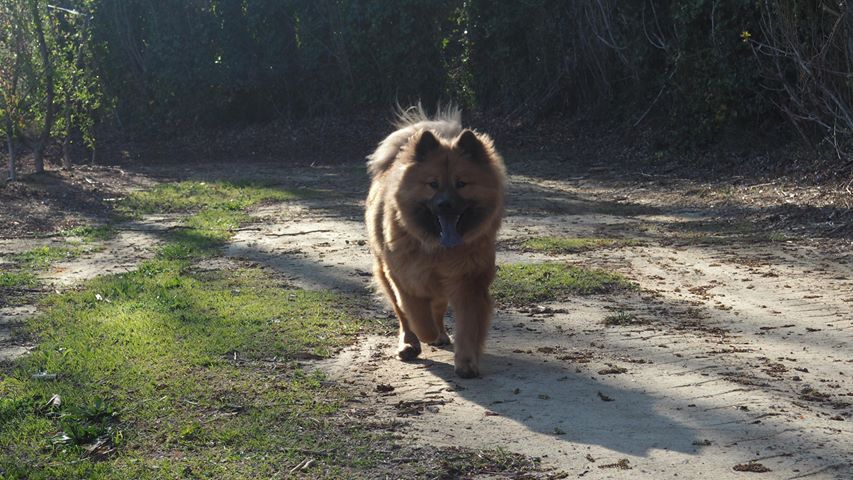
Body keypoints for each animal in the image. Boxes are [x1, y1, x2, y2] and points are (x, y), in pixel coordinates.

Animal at [366, 106, 506, 378]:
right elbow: (418, 318)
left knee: (438, 309)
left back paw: (440, 335)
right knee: (404, 317)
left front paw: (466, 362)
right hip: (387, 274)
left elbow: (468, 326)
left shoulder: (468, 282)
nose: (445, 205)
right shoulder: (407, 278)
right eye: (432, 184)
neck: (439, 250)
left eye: (462, 184)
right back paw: (409, 345)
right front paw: (425, 336)